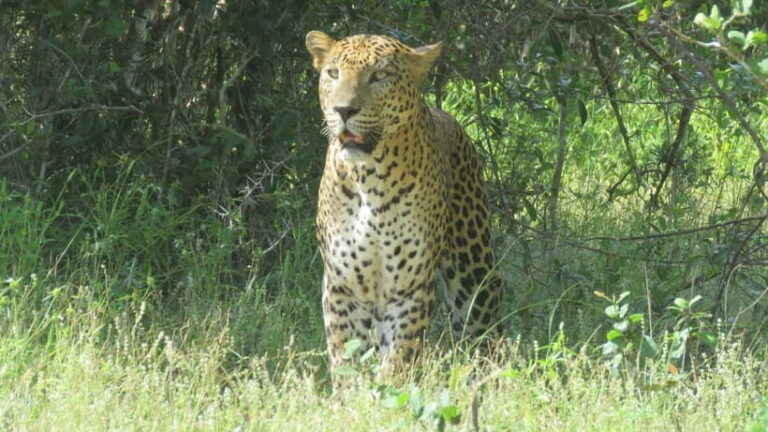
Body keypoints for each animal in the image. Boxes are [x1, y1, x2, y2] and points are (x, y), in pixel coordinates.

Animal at [305, 31, 502, 384]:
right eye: (333, 74)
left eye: (380, 76)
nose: (343, 110)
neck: (368, 178)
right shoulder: (343, 284)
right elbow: (345, 355)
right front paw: (352, 395)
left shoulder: (409, 284)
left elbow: (401, 355)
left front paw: (390, 389)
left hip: (473, 269)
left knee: (483, 329)